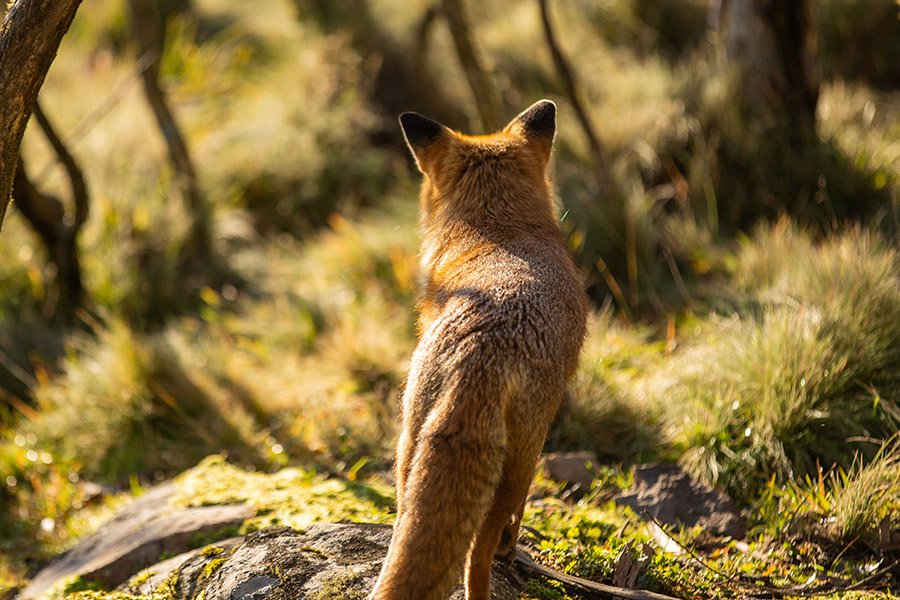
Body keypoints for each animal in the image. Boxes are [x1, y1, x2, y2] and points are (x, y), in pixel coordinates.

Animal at [369, 100, 587, 600]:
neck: (497, 229)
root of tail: (483, 352)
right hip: (520, 457)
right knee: (478, 549)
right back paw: (498, 563)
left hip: (410, 440)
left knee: (409, 522)